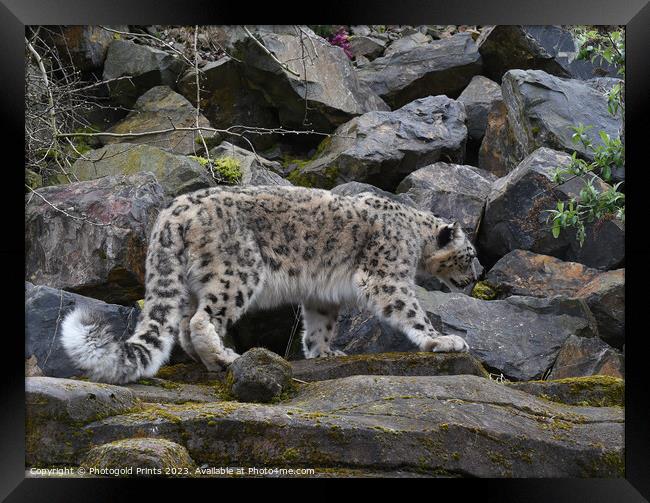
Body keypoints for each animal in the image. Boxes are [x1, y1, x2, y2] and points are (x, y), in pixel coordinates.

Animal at [59, 186, 476, 386]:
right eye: (470, 255)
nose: (475, 279)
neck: (414, 234)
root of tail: (168, 216)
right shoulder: (387, 274)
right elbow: (409, 309)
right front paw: (443, 340)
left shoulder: (320, 296)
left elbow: (320, 324)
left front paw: (324, 352)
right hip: (239, 271)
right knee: (202, 319)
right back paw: (225, 358)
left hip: (191, 281)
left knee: (183, 322)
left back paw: (205, 359)